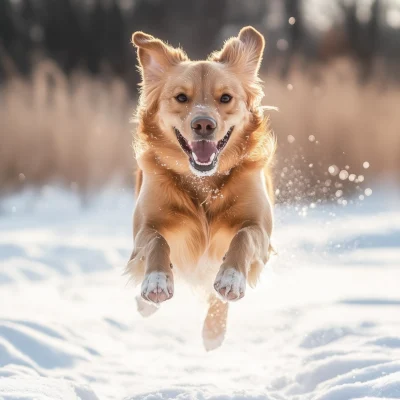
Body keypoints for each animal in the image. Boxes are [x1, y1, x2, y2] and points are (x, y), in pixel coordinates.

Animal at [127, 25, 276, 350]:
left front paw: (231, 278)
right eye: (181, 97)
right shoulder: (145, 225)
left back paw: (214, 328)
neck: (204, 181)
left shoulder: (261, 229)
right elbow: (156, 242)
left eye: (226, 98)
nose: (204, 125)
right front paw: (156, 281)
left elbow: (243, 238)